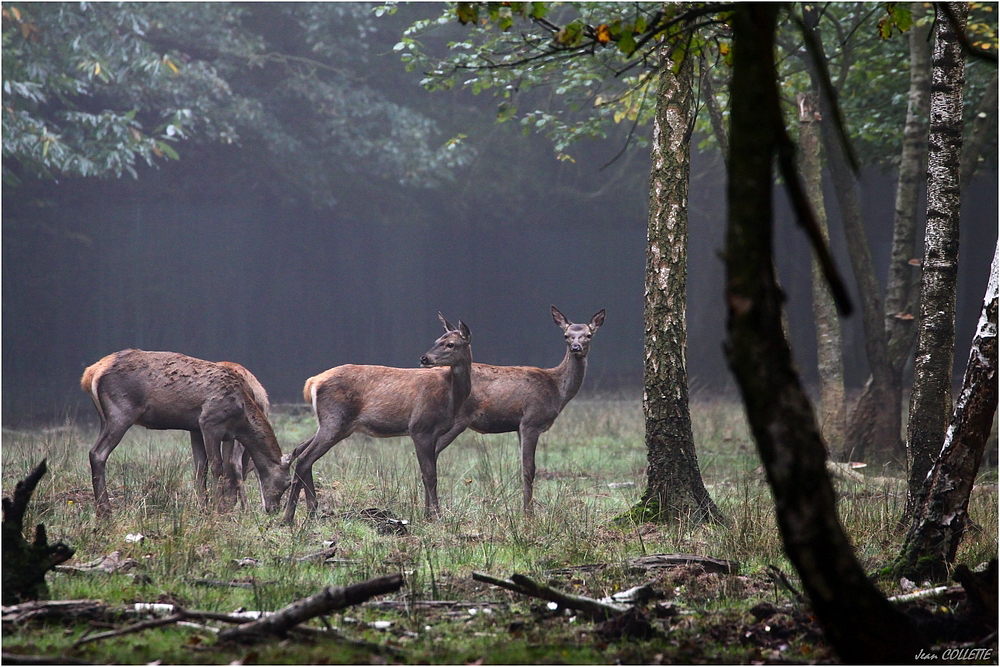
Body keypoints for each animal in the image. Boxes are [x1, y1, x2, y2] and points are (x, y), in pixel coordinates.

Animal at [80, 350, 292, 516]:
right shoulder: (209, 422)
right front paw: (217, 509)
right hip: (121, 412)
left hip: (104, 417)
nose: (273, 509)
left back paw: (101, 509)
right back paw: (105, 510)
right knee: (97, 453)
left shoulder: (208, 431)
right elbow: (217, 466)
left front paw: (205, 508)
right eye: (287, 482)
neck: (242, 413)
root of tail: (90, 374)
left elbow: (205, 468)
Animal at [284, 316, 474, 524]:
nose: (424, 358)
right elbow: (430, 475)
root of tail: (312, 382)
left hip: (336, 425)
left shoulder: (433, 434)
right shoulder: (420, 428)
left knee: (299, 451)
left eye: (450, 344)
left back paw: (311, 510)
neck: (451, 396)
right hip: (334, 420)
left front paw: (428, 515)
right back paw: (288, 516)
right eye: (437, 340)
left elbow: (427, 474)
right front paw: (436, 517)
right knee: (304, 458)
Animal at [434, 308, 604, 516]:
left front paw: (525, 509)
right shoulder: (531, 420)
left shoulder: (518, 426)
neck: (557, 390)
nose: (576, 347)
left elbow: (523, 467)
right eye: (566, 335)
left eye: (588, 335)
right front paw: (528, 513)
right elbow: (529, 469)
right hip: (455, 420)